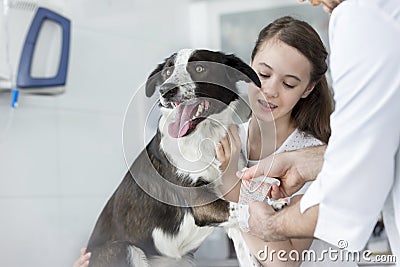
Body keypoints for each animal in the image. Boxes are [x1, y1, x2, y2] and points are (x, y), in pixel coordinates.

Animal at [86, 49, 260, 267]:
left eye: (200, 68)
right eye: (167, 72)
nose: (165, 90)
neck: (205, 139)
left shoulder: (234, 222)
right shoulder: (201, 202)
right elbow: (247, 206)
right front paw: (277, 205)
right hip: (124, 248)